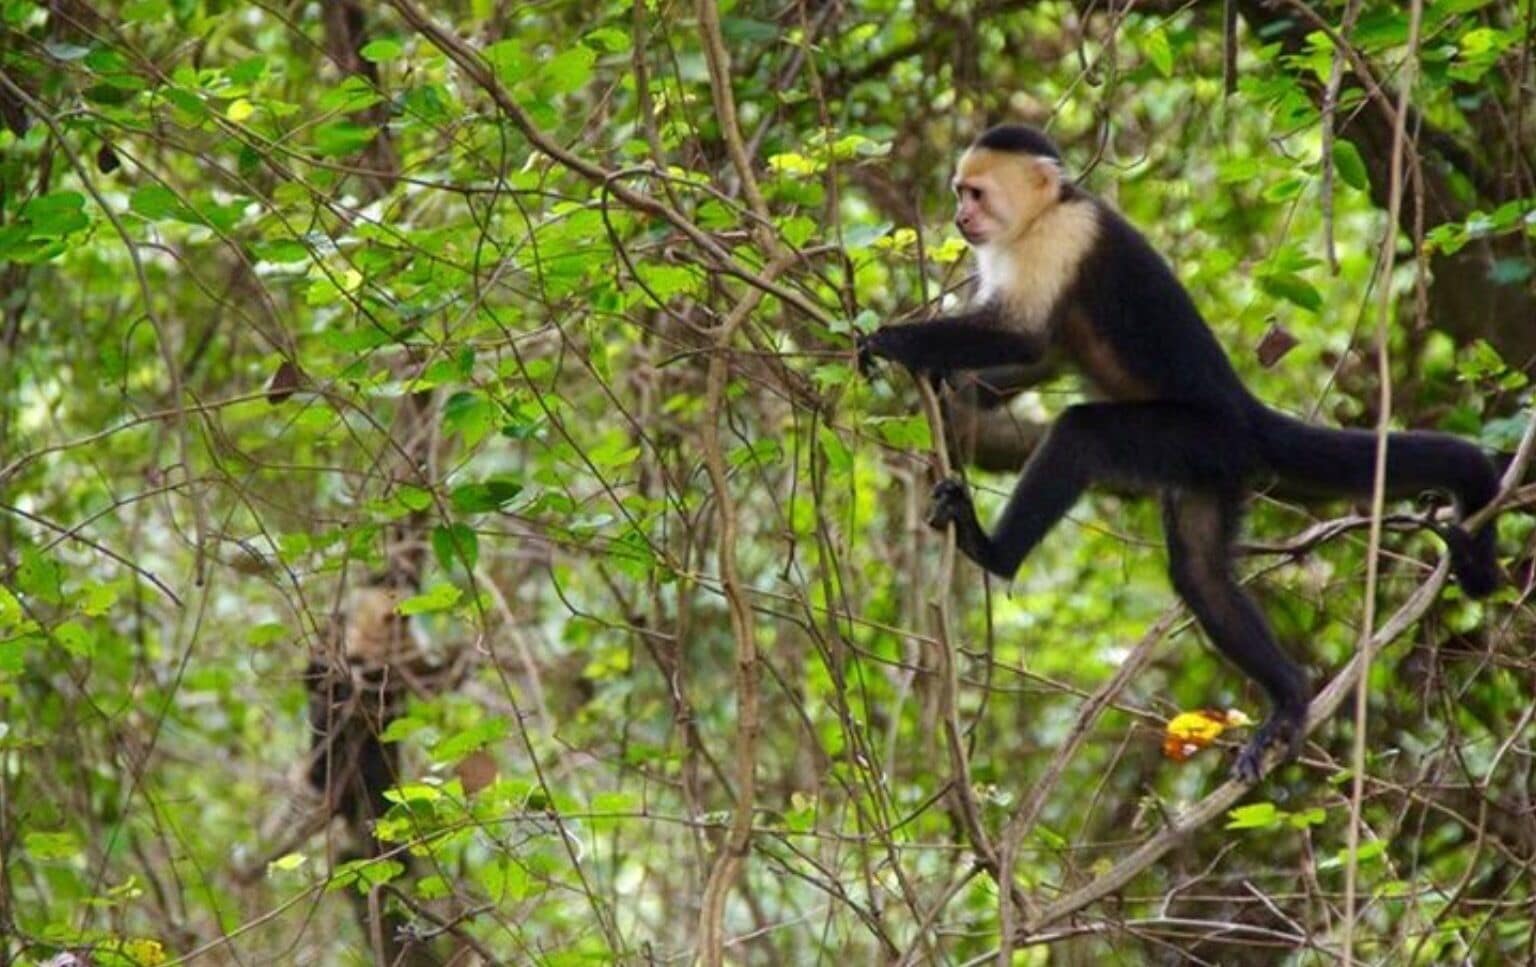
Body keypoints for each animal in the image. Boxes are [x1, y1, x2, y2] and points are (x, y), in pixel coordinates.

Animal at [859, 124, 1501, 782]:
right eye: (960, 192)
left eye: (977, 193)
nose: (960, 217)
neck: (1046, 213)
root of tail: (1244, 413)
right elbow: (1044, 356)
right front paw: (945, 387)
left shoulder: (1065, 238)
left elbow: (1025, 337)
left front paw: (892, 340)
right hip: (1211, 468)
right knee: (1200, 573)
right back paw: (1292, 694)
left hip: (1197, 435)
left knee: (1083, 435)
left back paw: (993, 551)